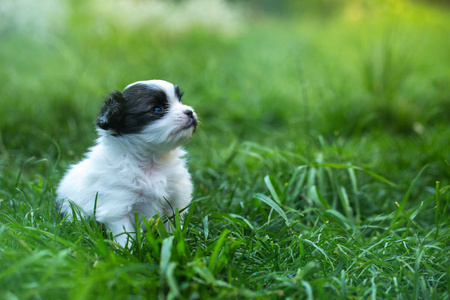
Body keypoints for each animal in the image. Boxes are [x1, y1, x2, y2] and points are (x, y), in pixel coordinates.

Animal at [56, 79, 197, 246]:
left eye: (180, 100)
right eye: (157, 109)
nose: (190, 112)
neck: (151, 161)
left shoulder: (176, 198)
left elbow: (173, 224)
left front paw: (176, 241)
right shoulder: (117, 206)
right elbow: (125, 235)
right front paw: (127, 251)